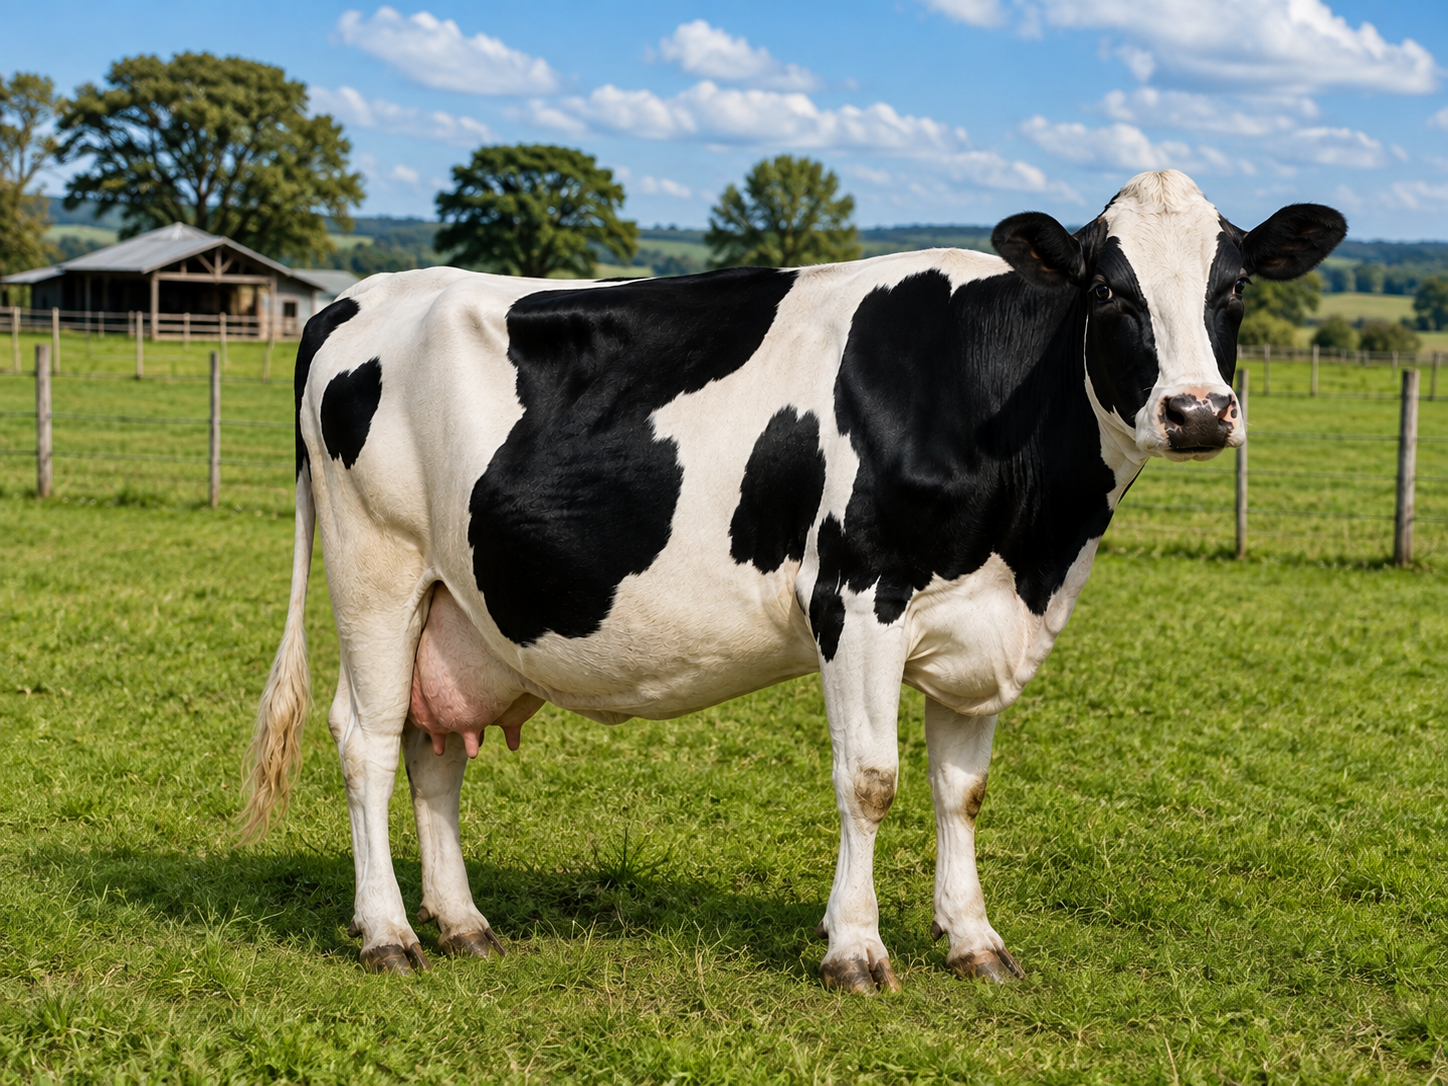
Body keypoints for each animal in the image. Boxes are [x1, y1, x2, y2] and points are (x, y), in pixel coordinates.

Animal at [242, 169, 1344, 992]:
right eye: (1109, 290)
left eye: (1234, 290)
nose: (1197, 411)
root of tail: (357, 297)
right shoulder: (858, 597)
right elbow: (871, 779)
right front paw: (854, 949)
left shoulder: (984, 625)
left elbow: (962, 791)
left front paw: (972, 940)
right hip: (377, 565)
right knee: (367, 739)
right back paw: (389, 935)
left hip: (457, 606)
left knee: (435, 749)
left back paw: (462, 922)